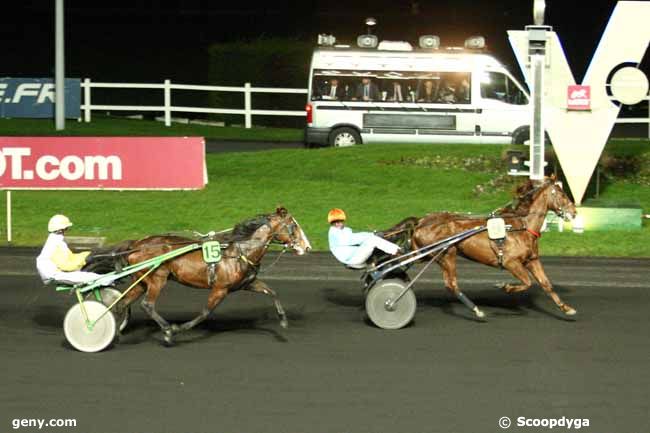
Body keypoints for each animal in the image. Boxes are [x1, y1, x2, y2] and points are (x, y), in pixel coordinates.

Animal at [107, 206, 310, 344]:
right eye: (293, 226)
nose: (307, 247)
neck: (240, 252)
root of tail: (137, 244)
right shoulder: (220, 288)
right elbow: (205, 312)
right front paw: (178, 329)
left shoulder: (247, 283)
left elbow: (272, 292)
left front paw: (283, 320)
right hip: (157, 278)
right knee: (147, 305)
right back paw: (167, 330)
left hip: (142, 281)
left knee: (122, 303)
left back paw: (118, 333)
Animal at [410, 177, 576, 318]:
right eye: (562, 194)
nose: (574, 212)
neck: (521, 226)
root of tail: (421, 221)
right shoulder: (510, 262)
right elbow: (527, 282)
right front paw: (504, 286)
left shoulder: (532, 260)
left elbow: (546, 284)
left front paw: (566, 308)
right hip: (447, 253)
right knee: (452, 284)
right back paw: (476, 310)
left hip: (432, 255)